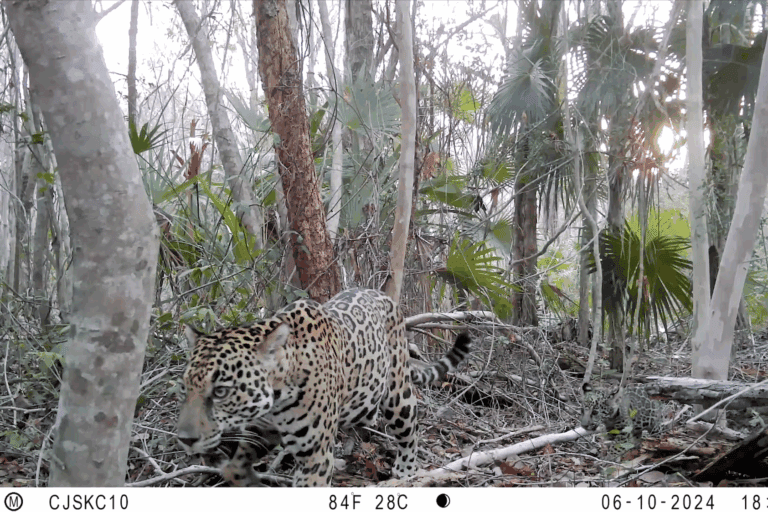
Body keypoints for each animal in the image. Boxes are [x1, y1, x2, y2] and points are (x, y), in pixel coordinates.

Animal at [176, 288, 471, 486]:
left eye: (221, 391)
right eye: (186, 387)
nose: (185, 439)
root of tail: (383, 296)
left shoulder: (314, 456)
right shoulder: (262, 429)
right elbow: (234, 469)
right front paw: (249, 481)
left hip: (398, 394)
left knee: (410, 430)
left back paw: (405, 472)